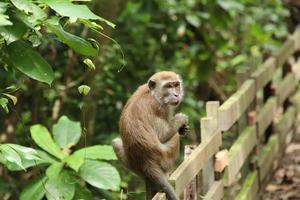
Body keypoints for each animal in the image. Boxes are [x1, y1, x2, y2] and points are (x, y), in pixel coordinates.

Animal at [111, 71, 189, 200]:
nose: (176, 95)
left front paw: (183, 129)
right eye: (168, 86)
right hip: (166, 156)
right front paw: (181, 120)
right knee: (174, 138)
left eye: (176, 85)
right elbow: (164, 136)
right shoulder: (161, 107)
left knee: (115, 143)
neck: (152, 94)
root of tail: (147, 161)